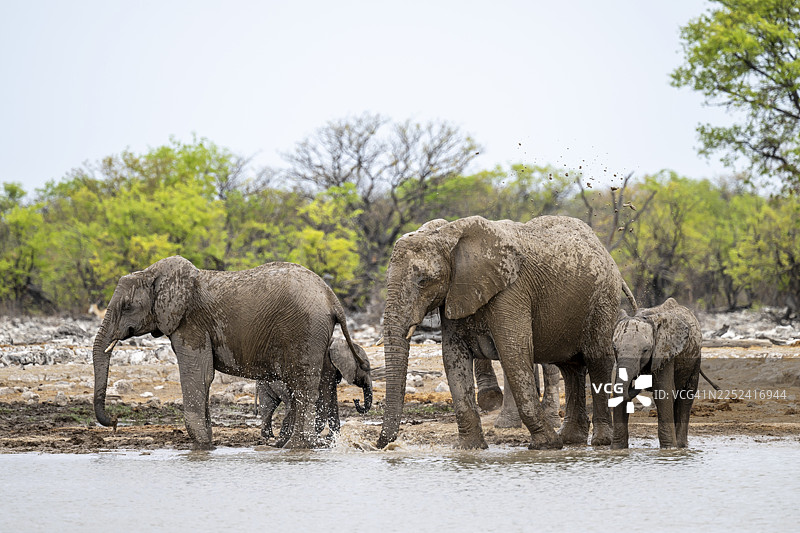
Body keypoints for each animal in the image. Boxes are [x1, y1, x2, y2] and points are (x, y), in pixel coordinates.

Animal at [92, 255, 372, 449]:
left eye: (127, 306)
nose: (114, 422)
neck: (153, 274)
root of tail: (332, 297)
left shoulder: (190, 323)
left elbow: (198, 375)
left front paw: (202, 446)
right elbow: (203, 377)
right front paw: (207, 444)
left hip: (304, 330)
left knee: (302, 384)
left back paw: (295, 447)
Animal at [377, 215, 637, 450]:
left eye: (423, 280)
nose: (381, 444)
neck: (450, 234)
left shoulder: (511, 291)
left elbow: (514, 353)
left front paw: (546, 445)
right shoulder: (456, 293)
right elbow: (453, 358)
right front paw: (470, 449)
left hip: (602, 299)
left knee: (597, 360)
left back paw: (600, 441)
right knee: (570, 367)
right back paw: (571, 439)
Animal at [611, 298, 701, 449]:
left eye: (646, 350)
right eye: (614, 348)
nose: (638, 382)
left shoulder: (665, 351)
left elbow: (663, 393)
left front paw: (669, 448)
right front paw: (617, 449)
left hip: (695, 359)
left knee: (686, 396)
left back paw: (680, 446)